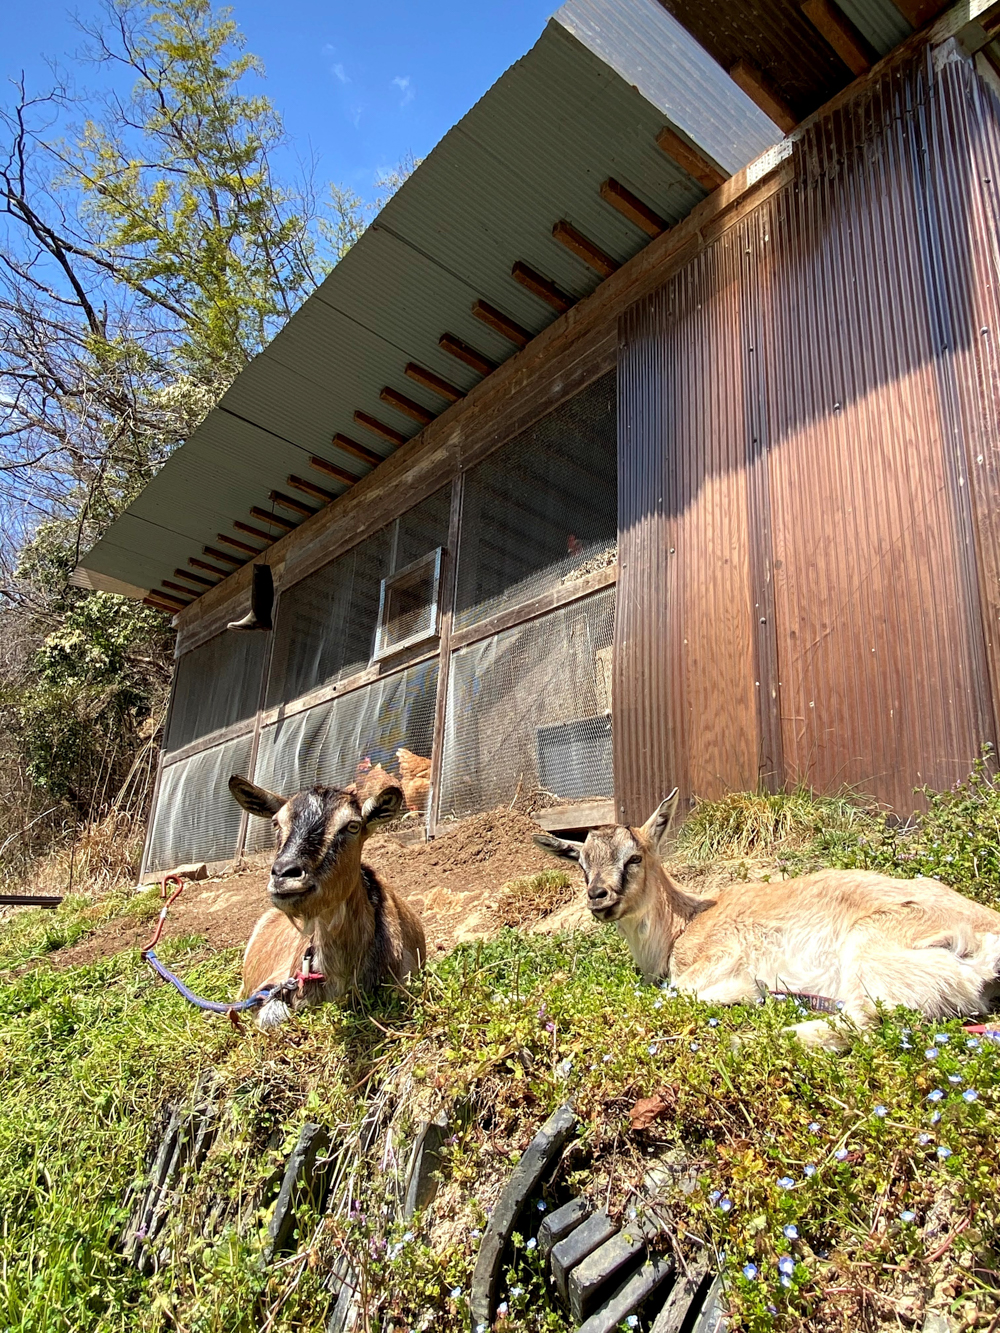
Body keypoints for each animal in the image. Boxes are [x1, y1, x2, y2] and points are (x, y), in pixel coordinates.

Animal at [536, 789, 1000, 1050]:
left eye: (633, 858)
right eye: (581, 864)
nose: (598, 897)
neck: (683, 925)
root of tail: (985, 947)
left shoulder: (720, 956)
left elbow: (673, 994)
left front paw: (745, 993)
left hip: (873, 951)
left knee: (866, 1023)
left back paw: (750, 1037)